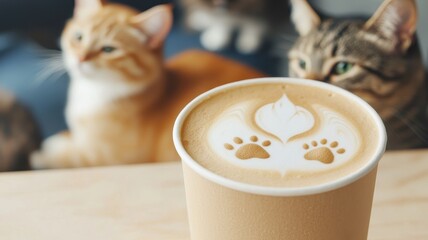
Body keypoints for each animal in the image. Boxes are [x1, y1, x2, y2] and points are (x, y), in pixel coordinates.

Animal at [30, 0, 262, 169]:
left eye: (109, 49)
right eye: (78, 37)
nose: (80, 58)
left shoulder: (113, 157)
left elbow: (70, 155)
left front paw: (42, 152)